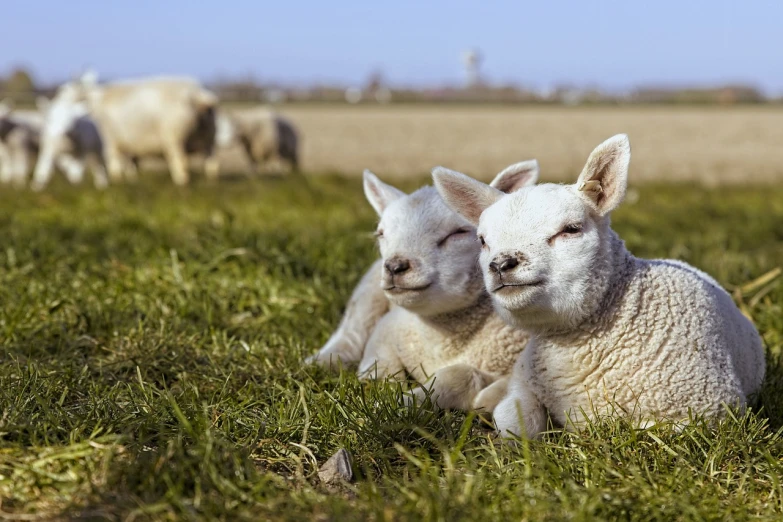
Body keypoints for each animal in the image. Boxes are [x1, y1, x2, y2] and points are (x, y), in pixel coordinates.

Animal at [310, 162, 544, 410]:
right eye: (381, 234)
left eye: (458, 232)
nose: (394, 267)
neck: (442, 343)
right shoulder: (388, 328)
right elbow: (377, 363)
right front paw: (383, 393)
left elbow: (463, 377)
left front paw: (406, 401)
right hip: (368, 291)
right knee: (352, 331)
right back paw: (323, 361)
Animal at [434, 133, 764, 434]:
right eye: (482, 241)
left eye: (571, 229)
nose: (501, 265)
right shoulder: (525, 383)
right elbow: (512, 421)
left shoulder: (708, 413)